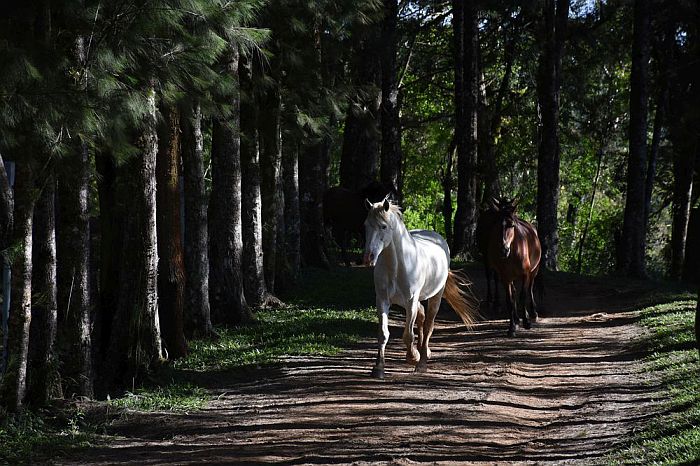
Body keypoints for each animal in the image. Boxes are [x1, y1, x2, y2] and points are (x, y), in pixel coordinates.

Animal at [360, 198, 476, 378]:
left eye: (383, 226)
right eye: (366, 225)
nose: (368, 258)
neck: (396, 267)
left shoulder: (410, 301)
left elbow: (408, 335)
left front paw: (413, 357)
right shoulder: (383, 301)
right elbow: (383, 334)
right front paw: (378, 367)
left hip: (434, 296)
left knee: (428, 325)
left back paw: (422, 362)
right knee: (421, 317)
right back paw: (423, 352)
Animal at [484, 198, 544, 336]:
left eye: (511, 225)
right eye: (496, 225)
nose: (503, 250)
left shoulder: (525, 274)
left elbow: (523, 295)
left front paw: (526, 322)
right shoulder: (505, 278)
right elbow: (510, 301)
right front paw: (511, 327)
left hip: (534, 271)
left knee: (530, 289)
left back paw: (533, 313)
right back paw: (516, 319)